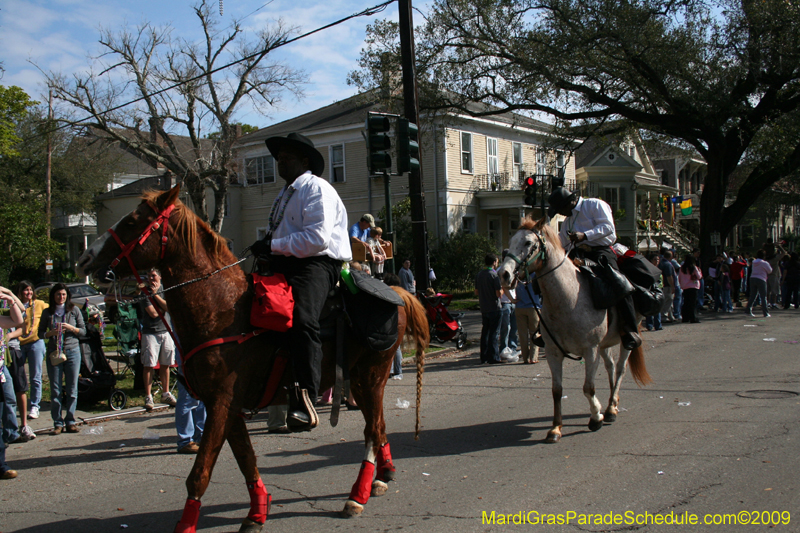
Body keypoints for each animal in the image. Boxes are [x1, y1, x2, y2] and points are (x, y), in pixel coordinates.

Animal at [73, 187, 432, 532]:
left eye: (132, 221)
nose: (84, 258)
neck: (221, 309)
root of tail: (398, 293)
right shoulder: (226, 405)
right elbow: (246, 460)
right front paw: (257, 512)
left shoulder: (221, 402)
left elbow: (200, 474)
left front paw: (188, 525)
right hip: (362, 379)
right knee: (378, 428)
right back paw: (381, 477)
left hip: (371, 377)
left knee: (374, 430)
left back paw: (357, 495)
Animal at [500, 218, 648, 442]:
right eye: (510, 241)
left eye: (528, 243)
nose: (504, 274)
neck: (567, 299)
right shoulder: (553, 352)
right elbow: (557, 390)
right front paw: (555, 428)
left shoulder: (590, 349)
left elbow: (588, 387)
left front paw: (595, 418)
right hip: (605, 343)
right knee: (610, 367)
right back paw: (611, 405)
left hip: (625, 337)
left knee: (620, 368)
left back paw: (610, 410)